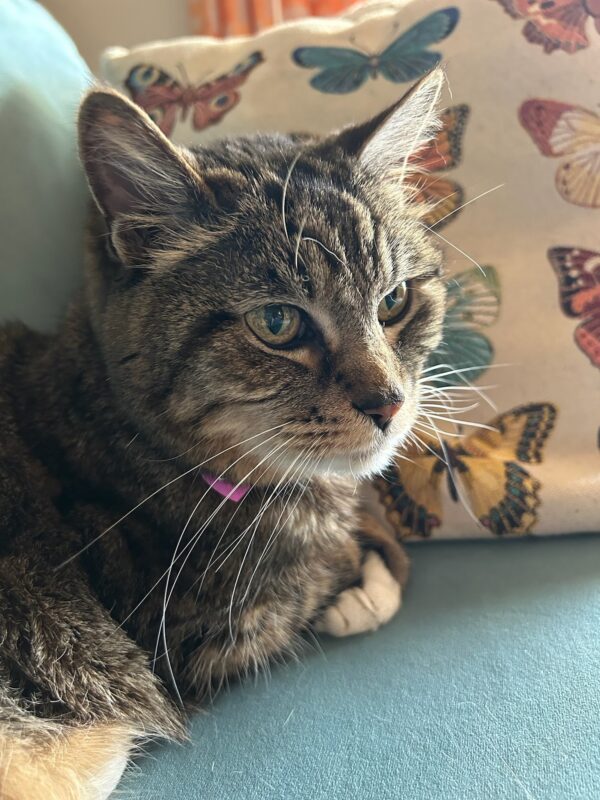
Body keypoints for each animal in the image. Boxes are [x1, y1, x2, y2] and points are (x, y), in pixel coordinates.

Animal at [0, 69, 447, 799]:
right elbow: (315, 579)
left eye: (395, 301)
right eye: (277, 323)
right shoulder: (198, 636)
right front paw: (363, 571)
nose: (390, 403)